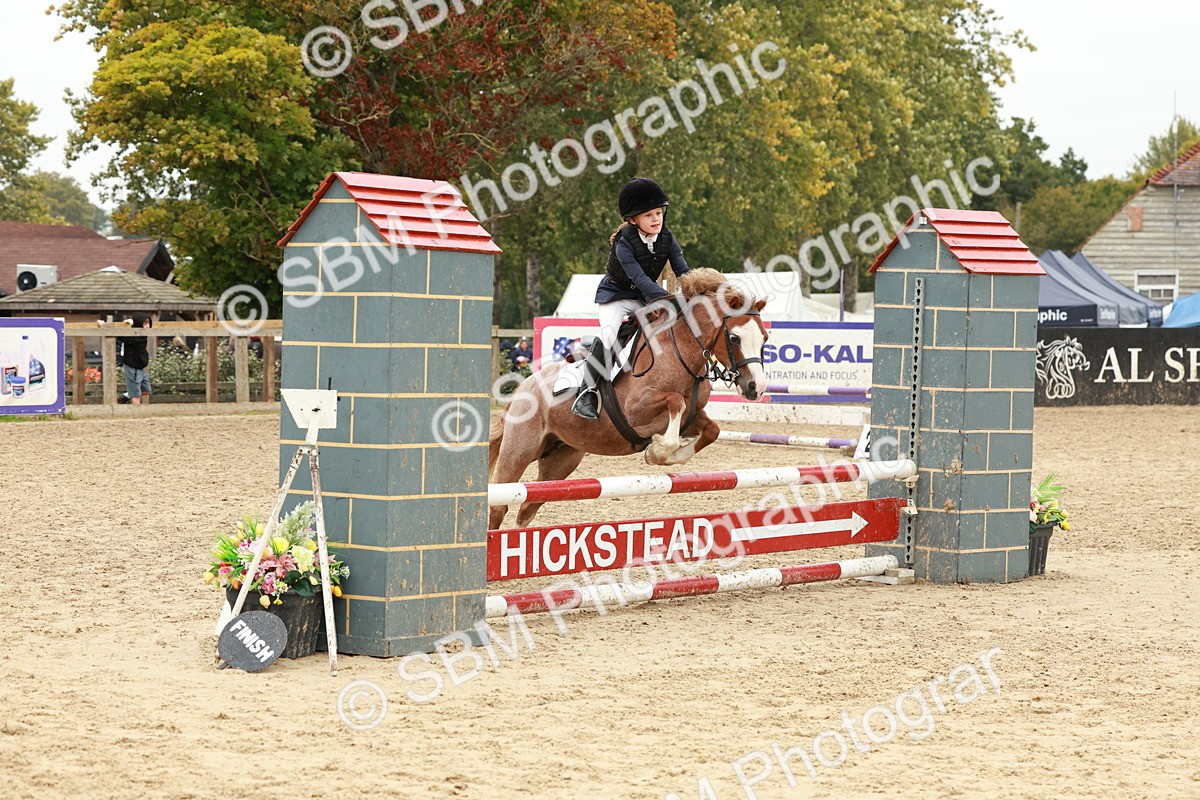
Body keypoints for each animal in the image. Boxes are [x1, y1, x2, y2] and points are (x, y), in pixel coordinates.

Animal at [488, 268, 769, 530]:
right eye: (734, 338)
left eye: (764, 338)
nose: (756, 387)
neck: (680, 351)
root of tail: (523, 388)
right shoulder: (637, 410)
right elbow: (675, 401)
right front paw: (657, 450)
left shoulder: (692, 418)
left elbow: (712, 430)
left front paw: (665, 455)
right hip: (519, 451)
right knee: (500, 504)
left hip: (561, 460)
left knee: (528, 506)